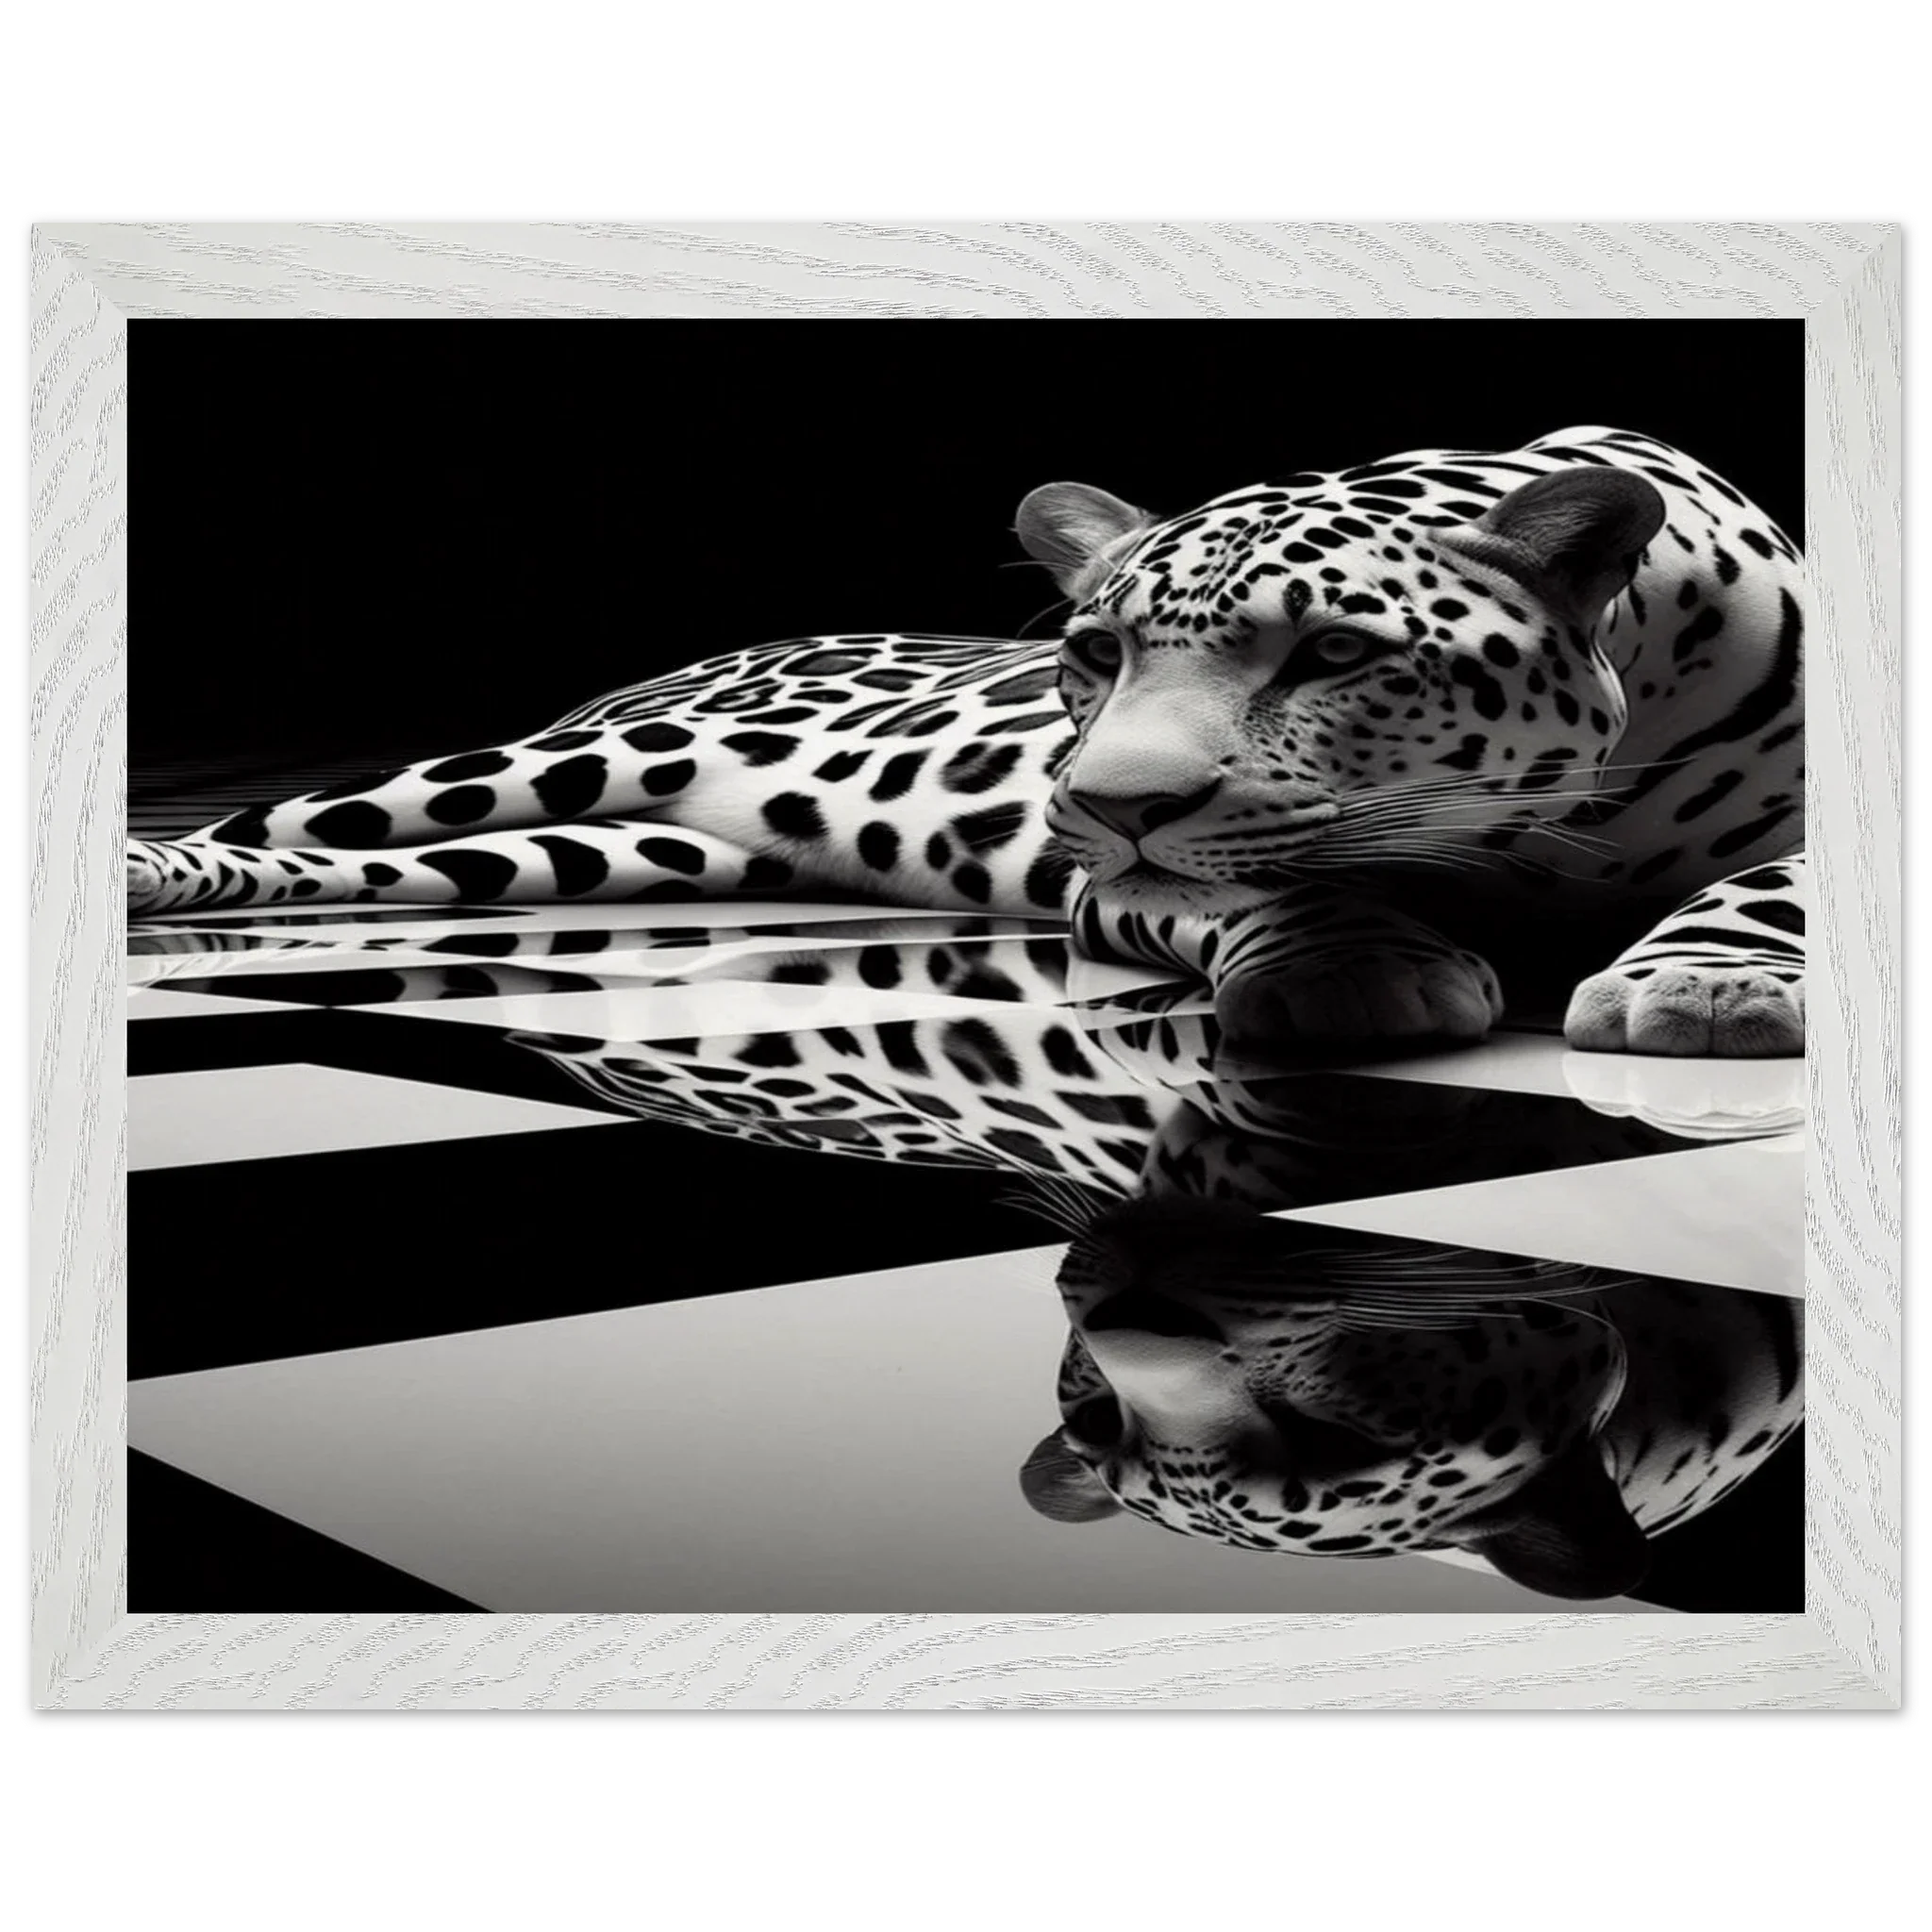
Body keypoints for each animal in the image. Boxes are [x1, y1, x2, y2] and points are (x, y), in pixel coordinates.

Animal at [125, 425, 1806, 1059]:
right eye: (1096, 653)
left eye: (1335, 653)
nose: (1107, 801)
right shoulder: (1120, 886)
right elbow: (1274, 883)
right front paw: (1354, 969)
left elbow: (1771, 884)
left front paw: (1711, 984)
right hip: (553, 768)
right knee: (285, 822)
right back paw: (153, 876)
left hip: (602, 851)